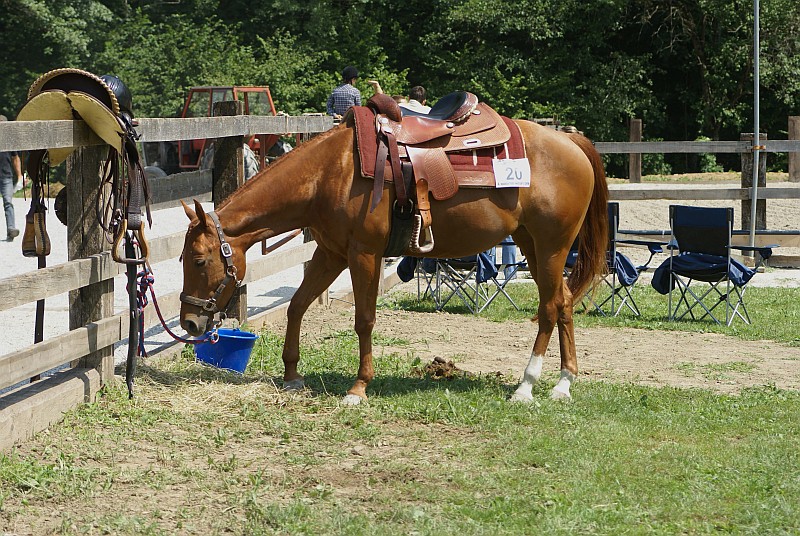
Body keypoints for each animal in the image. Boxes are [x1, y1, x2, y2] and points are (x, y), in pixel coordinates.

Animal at [180, 116, 608, 402]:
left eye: (199, 260)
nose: (188, 321)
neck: (328, 174)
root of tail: (571, 142)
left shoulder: (363, 254)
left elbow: (364, 320)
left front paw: (358, 387)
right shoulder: (330, 253)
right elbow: (297, 305)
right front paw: (292, 374)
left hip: (551, 248)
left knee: (549, 309)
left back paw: (526, 386)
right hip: (532, 246)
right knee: (564, 303)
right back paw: (563, 384)